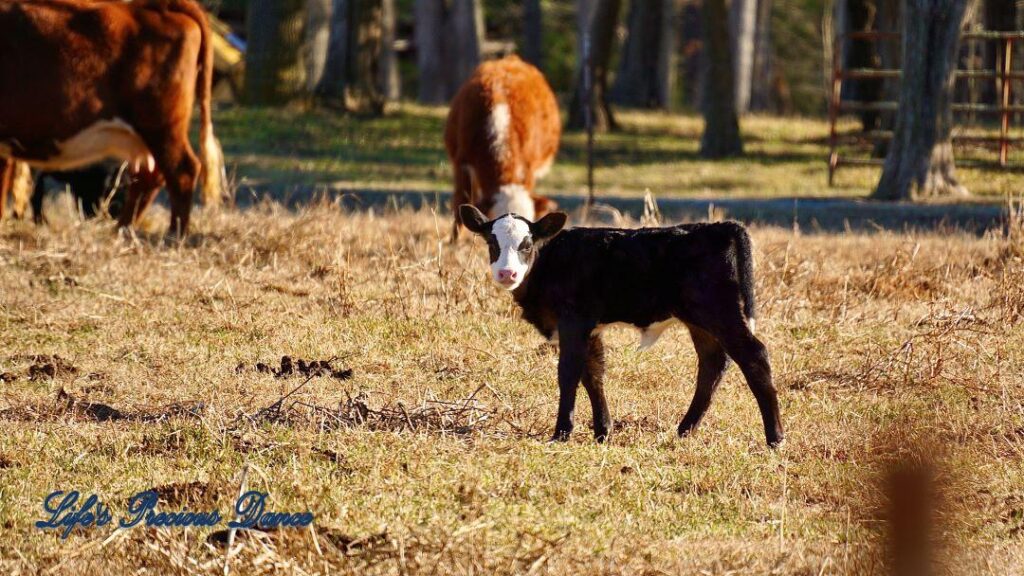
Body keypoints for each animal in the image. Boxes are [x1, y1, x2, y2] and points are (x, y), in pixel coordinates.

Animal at [0, 0, 224, 233]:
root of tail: (154, 7)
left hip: (162, 128)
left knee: (181, 171)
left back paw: (174, 234)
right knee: (149, 177)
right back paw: (122, 231)